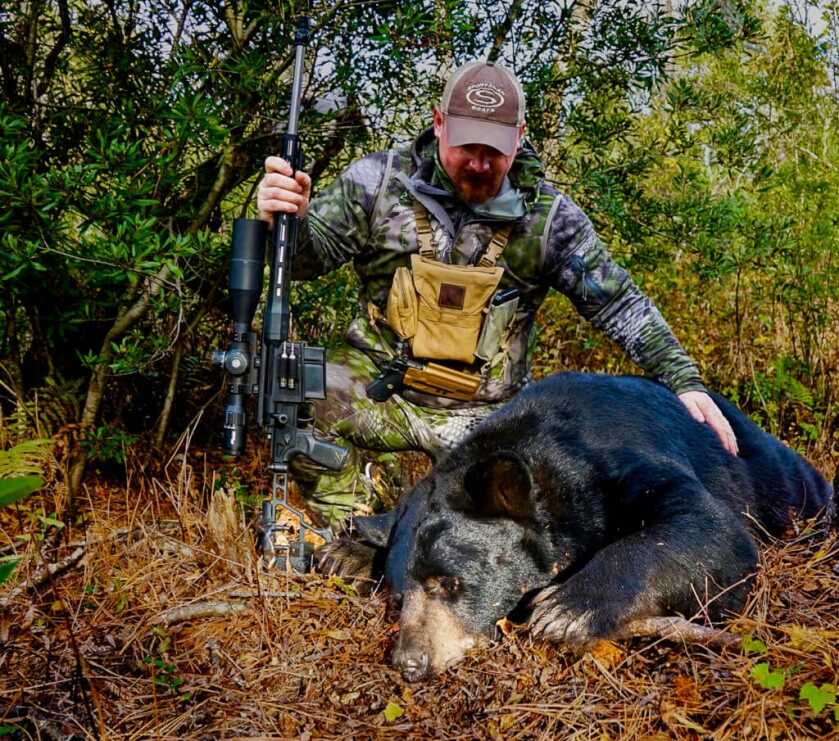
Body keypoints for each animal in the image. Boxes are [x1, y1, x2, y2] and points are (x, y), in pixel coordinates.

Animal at [317, 372, 835, 682]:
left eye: (448, 582)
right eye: (398, 598)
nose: (411, 663)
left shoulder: (619, 459)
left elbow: (713, 529)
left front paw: (566, 608)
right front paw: (346, 553)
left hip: (782, 481)